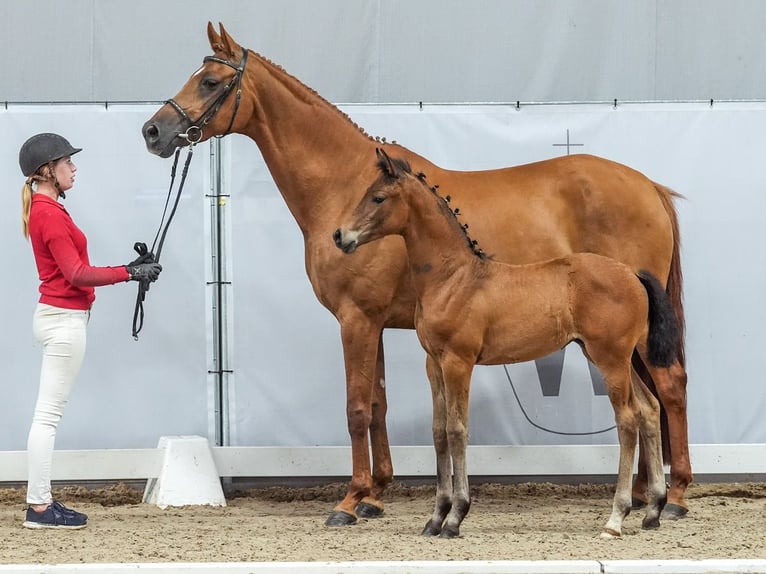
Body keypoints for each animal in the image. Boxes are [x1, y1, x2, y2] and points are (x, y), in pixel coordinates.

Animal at [336, 150, 680, 540]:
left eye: (378, 197)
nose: (340, 236)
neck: (453, 278)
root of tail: (631, 273)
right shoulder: (434, 364)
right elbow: (438, 433)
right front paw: (435, 518)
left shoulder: (458, 361)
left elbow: (457, 430)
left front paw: (455, 517)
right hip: (612, 356)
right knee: (649, 409)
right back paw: (653, 510)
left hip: (611, 359)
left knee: (627, 420)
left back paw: (616, 518)